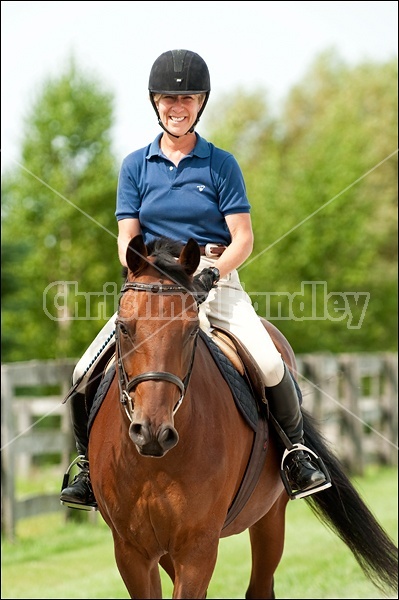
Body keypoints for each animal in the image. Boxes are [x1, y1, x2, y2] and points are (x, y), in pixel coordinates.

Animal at [89, 236, 398, 600]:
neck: (154, 464)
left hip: (270, 516)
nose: (152, 432)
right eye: (124, 328)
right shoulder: (131, 552)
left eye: (191, 331)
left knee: (260, 586)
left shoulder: (198, 548)